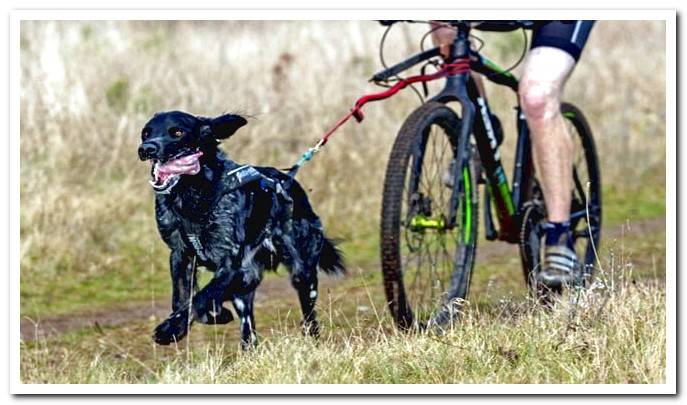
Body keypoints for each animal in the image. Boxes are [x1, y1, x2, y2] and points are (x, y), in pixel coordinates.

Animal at [138, 110, 344, 348]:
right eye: (146, 133)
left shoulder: (230, 264)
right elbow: (182, 298)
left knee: (310, 317)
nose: (146, 149)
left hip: (303, 272)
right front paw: (206, 317)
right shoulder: (180, 255)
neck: (194, 195)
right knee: (249, 333)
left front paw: (170, 328)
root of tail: (289, 180)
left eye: (177, 132)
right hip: (245, 291)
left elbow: (201, 297)